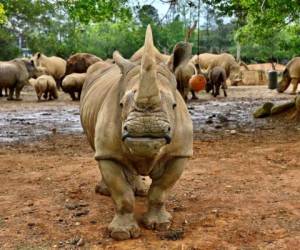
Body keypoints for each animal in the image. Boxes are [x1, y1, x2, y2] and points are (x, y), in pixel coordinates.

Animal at [79, 24, 192, 240]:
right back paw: (104, 191)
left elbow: (161, 190)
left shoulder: (180, 153)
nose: (146, 128)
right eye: (121, 104)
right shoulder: (108, 153)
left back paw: (140, 190)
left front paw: (160, 225)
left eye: (174, 105)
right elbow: (122, 194)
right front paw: (121, 233)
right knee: (97, 152)